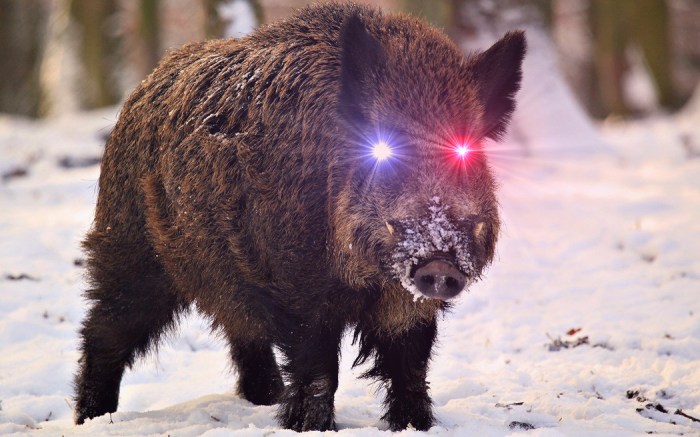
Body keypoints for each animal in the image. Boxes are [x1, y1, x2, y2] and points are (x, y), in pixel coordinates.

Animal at [74, 2, 525, 432]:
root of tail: (144, 87)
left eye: (466, 149)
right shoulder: (296, 287)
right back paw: (91, 418)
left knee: (241, 329)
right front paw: (311, 427)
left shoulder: (408, 306)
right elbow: (319, 370)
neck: (369, 279)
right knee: (105, 328)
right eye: (386, 147)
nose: (439, 263)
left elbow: (410, 368)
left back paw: (265, 399)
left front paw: (416, 425)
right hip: (130, 246)